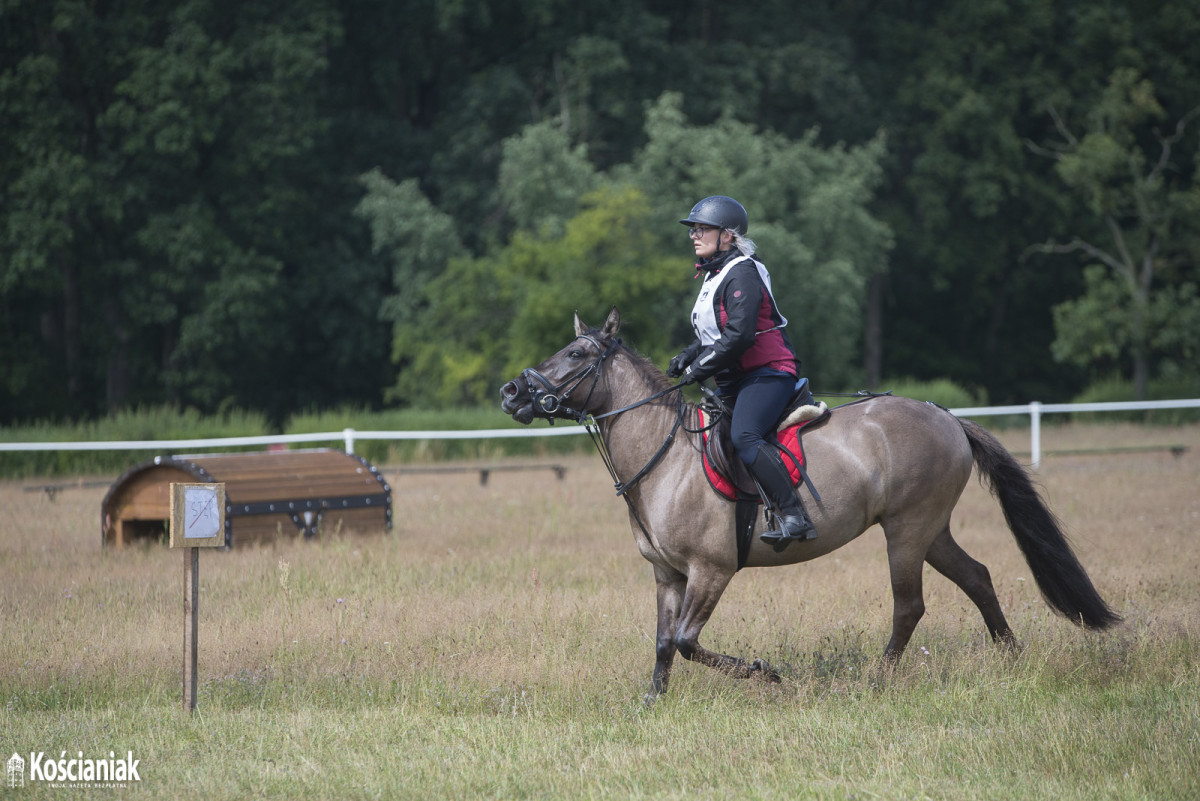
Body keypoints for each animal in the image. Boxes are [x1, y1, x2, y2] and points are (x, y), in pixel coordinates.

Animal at [496, 309, 1113, 695]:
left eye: (576, 353)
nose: (511, 392)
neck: (666, 457)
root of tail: (948, 418)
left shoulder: (711, 570)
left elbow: (689, 643)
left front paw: (767, 673)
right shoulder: (667, 575)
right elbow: (664, 646)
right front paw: (651, 706)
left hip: (907, 531)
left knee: (910, 606)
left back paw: (876, 679)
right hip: (931, 530)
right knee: (979, 578)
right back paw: (1012, 656)